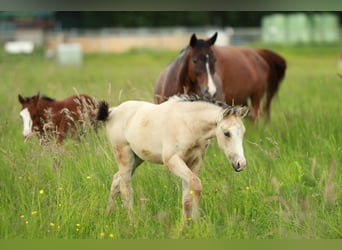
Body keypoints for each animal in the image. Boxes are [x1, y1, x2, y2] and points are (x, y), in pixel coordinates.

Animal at [96, 94, 248, 220]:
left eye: (243, 132)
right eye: (227, 133)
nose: (241, 164)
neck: (188, 124)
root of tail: (112, 112)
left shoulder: (194, 162)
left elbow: (187, 196)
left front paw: (186, 224)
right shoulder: (172, 160)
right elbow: (196, 185)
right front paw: (196, 221)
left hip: (137, 159)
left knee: (116, 180)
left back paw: (108, 214)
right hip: (124, 156)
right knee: (125, 189)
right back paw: (132, 221)